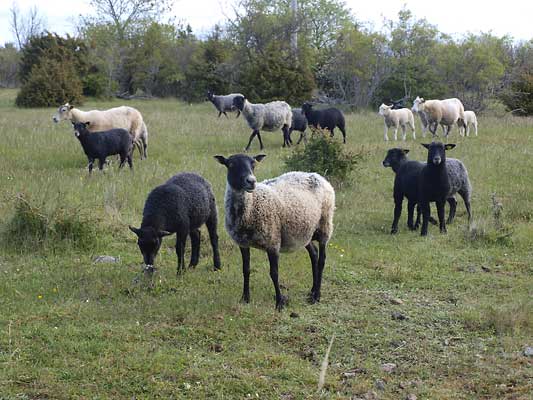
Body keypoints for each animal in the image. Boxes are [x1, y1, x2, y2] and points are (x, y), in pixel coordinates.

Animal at [212, 153, 332, 312]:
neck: (249, 208)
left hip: (325, 225)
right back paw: (312, 291)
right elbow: (246, 269)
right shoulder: (243, 243)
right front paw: (245, 298)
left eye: (253, 164)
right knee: (314, 254)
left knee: (322, 259)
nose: (251, 181)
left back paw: (317, 295)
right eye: (230, 165)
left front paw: (279, 302)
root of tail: (316, 175)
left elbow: (274, 273)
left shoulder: (272, 241)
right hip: (303, 232)